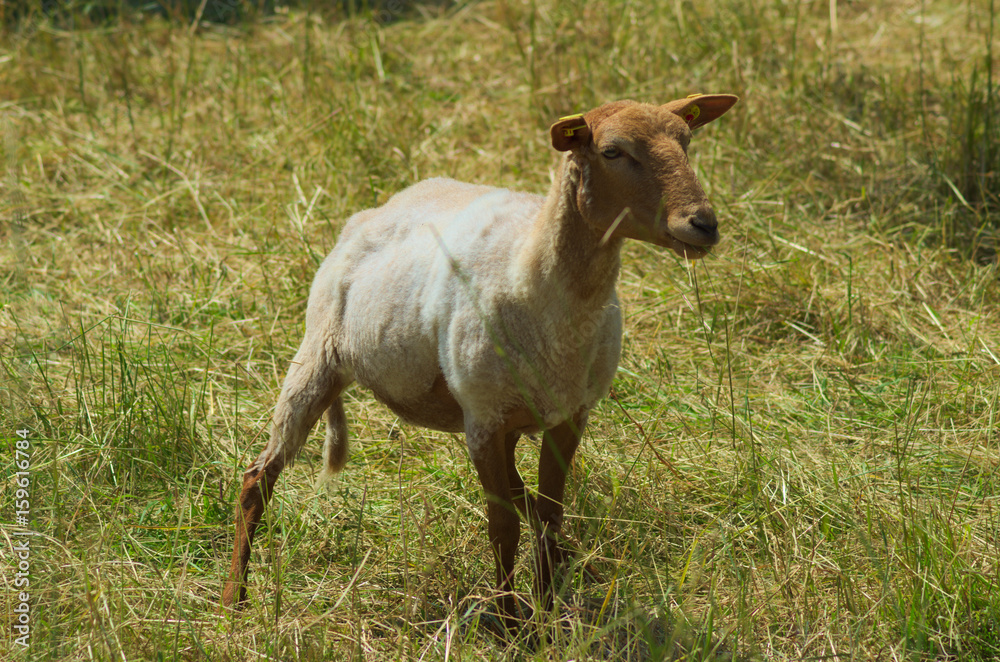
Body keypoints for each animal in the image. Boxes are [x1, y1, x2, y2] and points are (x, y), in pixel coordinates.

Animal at [221, 93, 739, 629]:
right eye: (612, 151)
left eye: (686, 140)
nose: (703, 223)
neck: (539, 284)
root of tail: (376, 210)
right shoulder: (483, 422)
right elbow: (502, 527)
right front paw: (512, 626)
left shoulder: (567, 414)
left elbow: (549, 514)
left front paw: (547, 615)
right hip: (319, 356)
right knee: (257, 478)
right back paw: (234, 600)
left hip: (503, 408)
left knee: (522, 495)